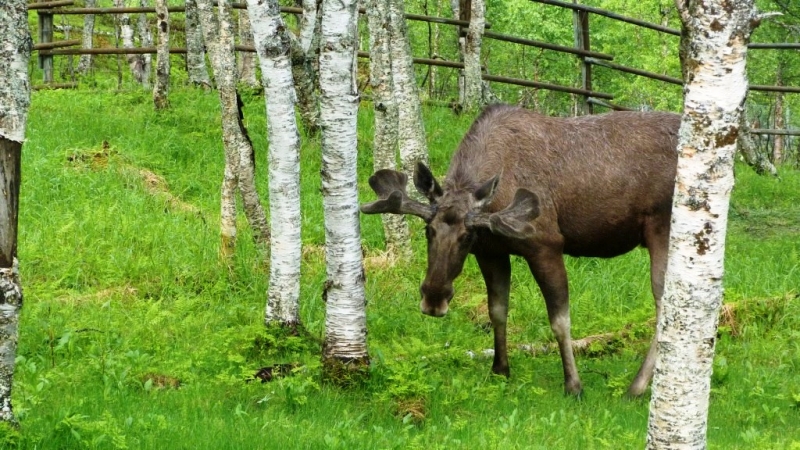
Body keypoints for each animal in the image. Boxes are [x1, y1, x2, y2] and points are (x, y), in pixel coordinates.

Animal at [362, 103, 680, 396]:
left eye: (466, 236)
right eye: (428, 230)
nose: (433, 298)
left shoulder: (546, 245)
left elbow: (560, 320)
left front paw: (574, 385)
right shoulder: (491, 252)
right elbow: (497, 310)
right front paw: (500, 369)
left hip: (662, 229)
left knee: (665, 306)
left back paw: (636, 387)